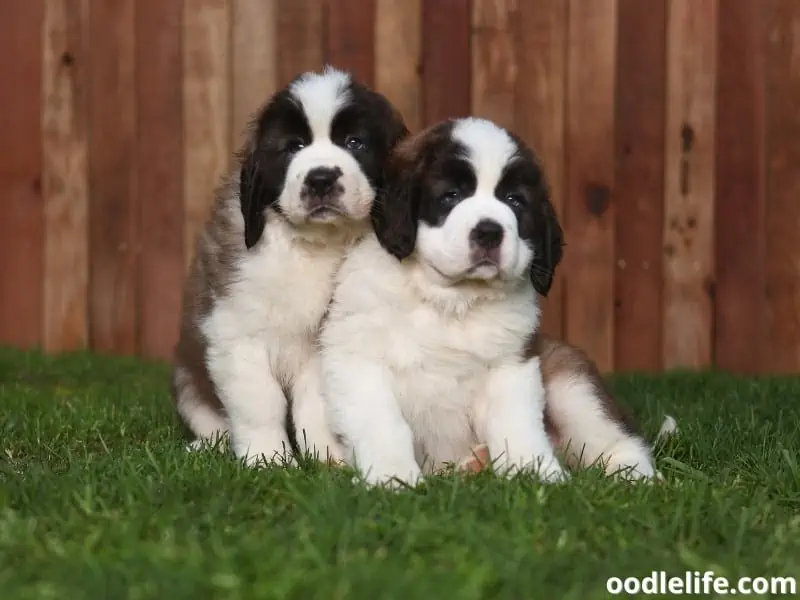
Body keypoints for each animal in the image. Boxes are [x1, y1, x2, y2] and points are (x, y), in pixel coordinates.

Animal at [170, 68, 406, 466]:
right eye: (293, 147)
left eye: (355, 142)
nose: (321, 178)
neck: (312, 245)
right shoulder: (236, 333)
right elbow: (260, 404)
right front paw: (267, 459)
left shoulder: (321, 344)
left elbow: (316, 404)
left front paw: (327, 456)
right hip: (188, 378)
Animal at [318, 118, 664, 488]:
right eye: (450, 196)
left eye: (514, 201)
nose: (489, 232)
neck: (450, 300)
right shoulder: (357, 360)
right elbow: (383, 424)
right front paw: (392, 478)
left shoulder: (511, 365)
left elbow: (517, 424)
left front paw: (534, 472)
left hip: (570, 383)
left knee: (619, 440)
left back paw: (634, 477)